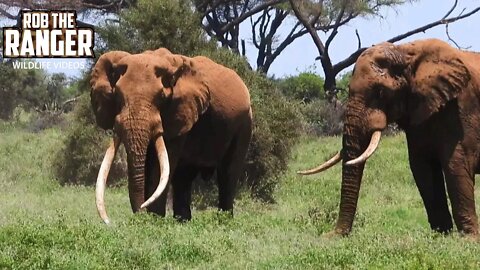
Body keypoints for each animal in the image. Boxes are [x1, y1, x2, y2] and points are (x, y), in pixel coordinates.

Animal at [91, 47, 253, 223]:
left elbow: (159, 165)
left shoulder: (179, 113)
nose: (140, 213)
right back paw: (183, 221)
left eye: (161, 97)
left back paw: (224, 220)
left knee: (228, 173)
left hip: (244, 124)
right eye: (117, 96)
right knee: (184, 176)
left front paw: (153, 221)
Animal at [298, 39, 480, 237]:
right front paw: (441, 236)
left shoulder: (462, 107)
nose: (331, 235)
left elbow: (457, 163)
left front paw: (468, 239)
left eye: (380, 92)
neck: (405, 52)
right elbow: (422, 168)